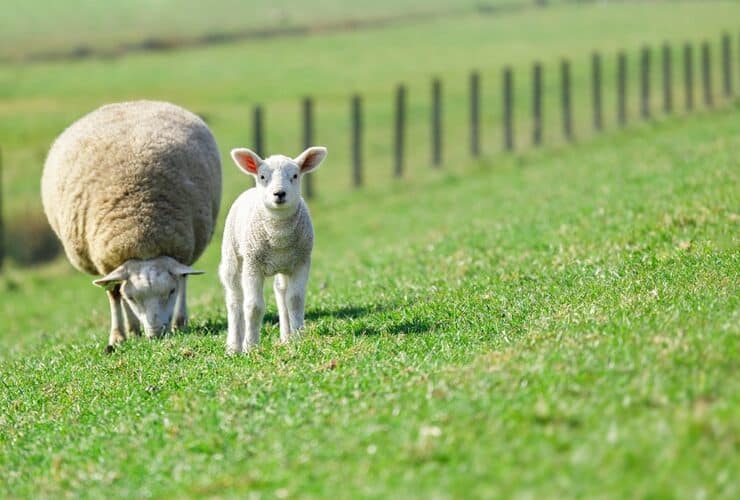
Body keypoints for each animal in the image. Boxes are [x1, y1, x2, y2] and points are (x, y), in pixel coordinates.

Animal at [41, 100, 222, 351]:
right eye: (132, 298)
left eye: (171, 291)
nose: (156, 334)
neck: (142, 229)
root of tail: (129, 103)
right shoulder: (106, 263)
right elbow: (114, 294)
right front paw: (119, 336)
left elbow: (182, 280)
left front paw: (178, 323)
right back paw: (133, 329)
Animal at [219, 146, 327, 352]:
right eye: (262, 176)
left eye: (295, 175)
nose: (279, 193)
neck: (278, 236)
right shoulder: (252, 264)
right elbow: (253, 307)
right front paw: (250, 346)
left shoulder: (301, 261)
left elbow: (295, 300)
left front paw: (299, 338)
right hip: (232, 257)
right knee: (235, 300)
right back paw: (233, 346)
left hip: (284, 266)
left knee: (281, 294)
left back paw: (286, 337)